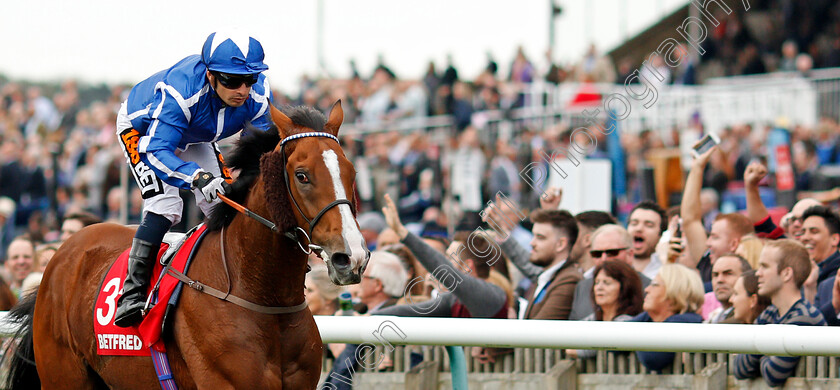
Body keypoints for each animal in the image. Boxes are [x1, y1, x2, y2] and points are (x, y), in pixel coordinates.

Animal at [4, 102, 370, 388]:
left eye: (352, 173)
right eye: (302, 175)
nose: (351, 257)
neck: (262, 294)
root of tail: (62, 253)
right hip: (63, 375)